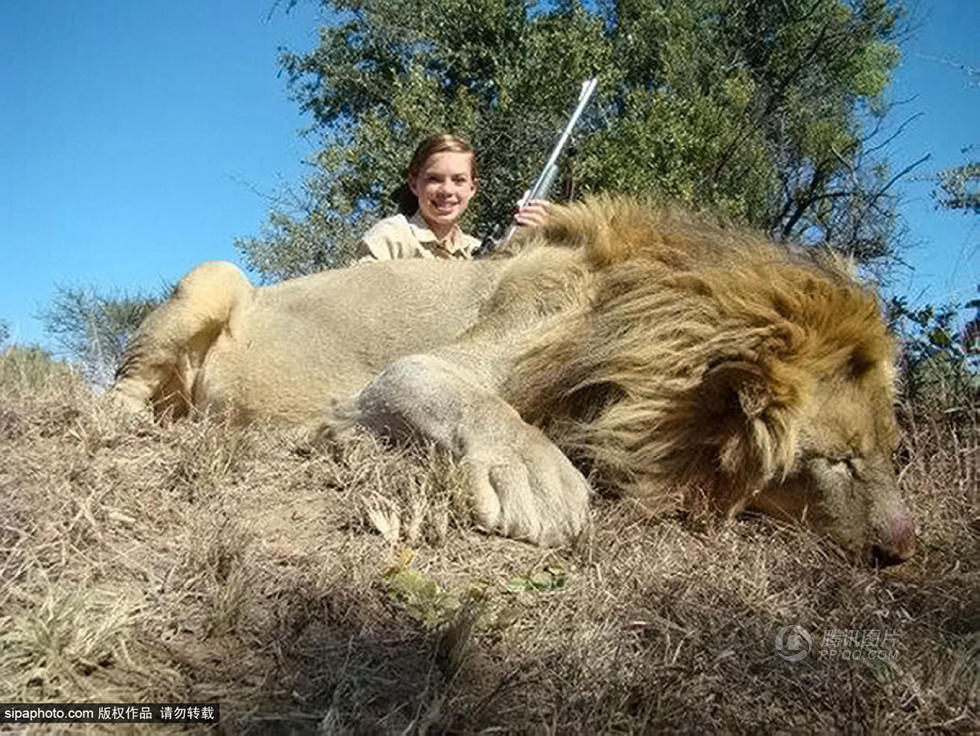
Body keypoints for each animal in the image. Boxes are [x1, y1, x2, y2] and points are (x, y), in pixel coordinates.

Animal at [113, 194, 920, 564]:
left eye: (890, 454)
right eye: (839, 462)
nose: (905, 548)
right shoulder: (418, 367)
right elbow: (471, 400)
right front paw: (540, 481)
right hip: (214, 277)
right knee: (126, 388)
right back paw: (124, 423)